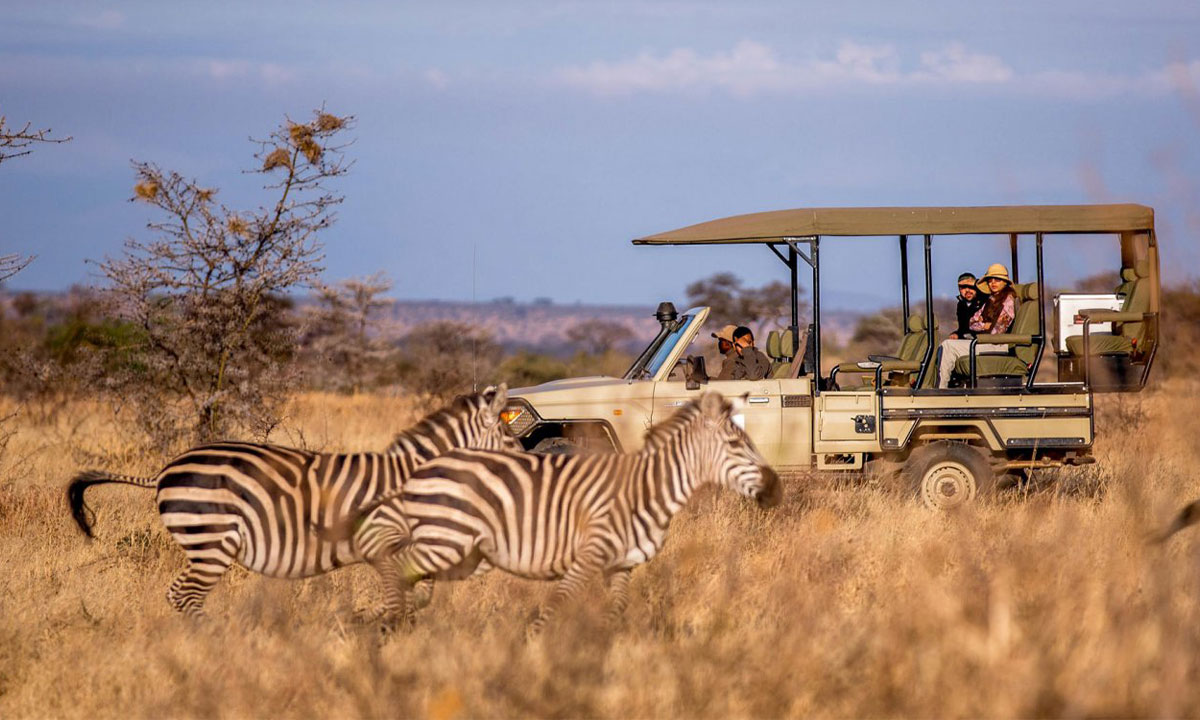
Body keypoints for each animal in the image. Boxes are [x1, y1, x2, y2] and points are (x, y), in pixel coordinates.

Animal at [64, 386, 516, 614]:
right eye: (512, 440)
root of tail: (164, 470)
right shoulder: (387, 544)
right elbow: (403, 595)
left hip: (201, 543)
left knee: (177, 594)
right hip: (212, 540)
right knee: (186, 595)